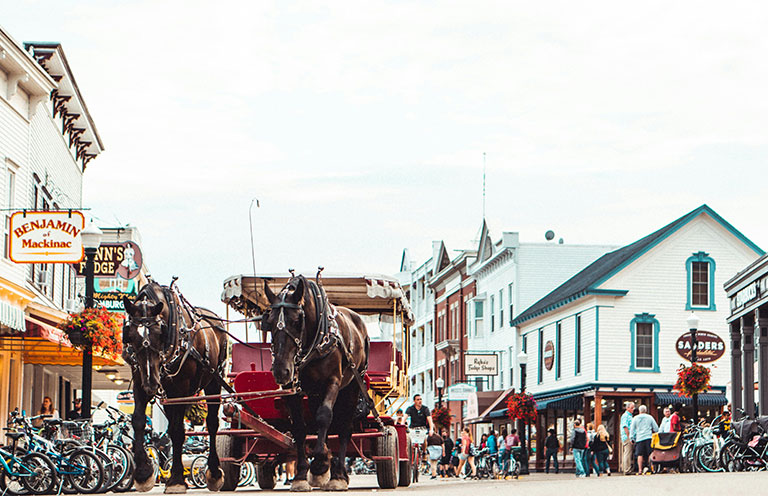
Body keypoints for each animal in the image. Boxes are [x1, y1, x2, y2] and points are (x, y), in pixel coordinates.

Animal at [122, 280, 228, 494]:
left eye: (159, 333)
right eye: (131, 336)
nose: (152, 383)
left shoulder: (181, 388)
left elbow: (178, 431)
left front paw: (176, 479)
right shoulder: (139, 381)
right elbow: (138, 421)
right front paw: (143, 473)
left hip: (214, 381)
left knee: (212, 423)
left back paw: (214, 473)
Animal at [262, 278, 370, 490]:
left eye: (297, 321)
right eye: (269, 323)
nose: (281, 371)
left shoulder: (333, 382)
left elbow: (324, 416)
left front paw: (320, 463)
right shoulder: (293, 389)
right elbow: (300, 427)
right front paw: (302, 475)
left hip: (353, 385)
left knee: (344, 427)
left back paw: (338, 475)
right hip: (315, 393)